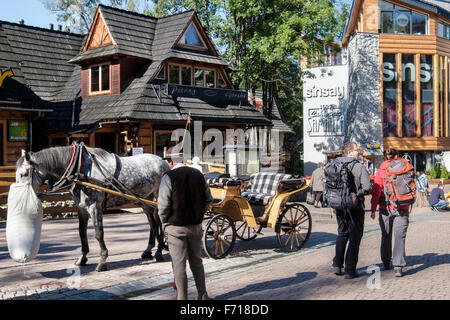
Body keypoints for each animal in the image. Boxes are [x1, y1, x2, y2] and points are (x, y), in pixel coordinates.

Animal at [15, 146, 171, 272]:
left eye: (24, 174)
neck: (80, 170)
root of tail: (164, 162)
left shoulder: (94, 206)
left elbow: (98, 234)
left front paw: (102, 262)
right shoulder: (82, 208)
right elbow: (82, 233)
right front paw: (82, 259)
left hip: (158, 198)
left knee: (160, 221)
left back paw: (159, 253)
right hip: (143, 200)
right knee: (153, 222)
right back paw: (149, 250)